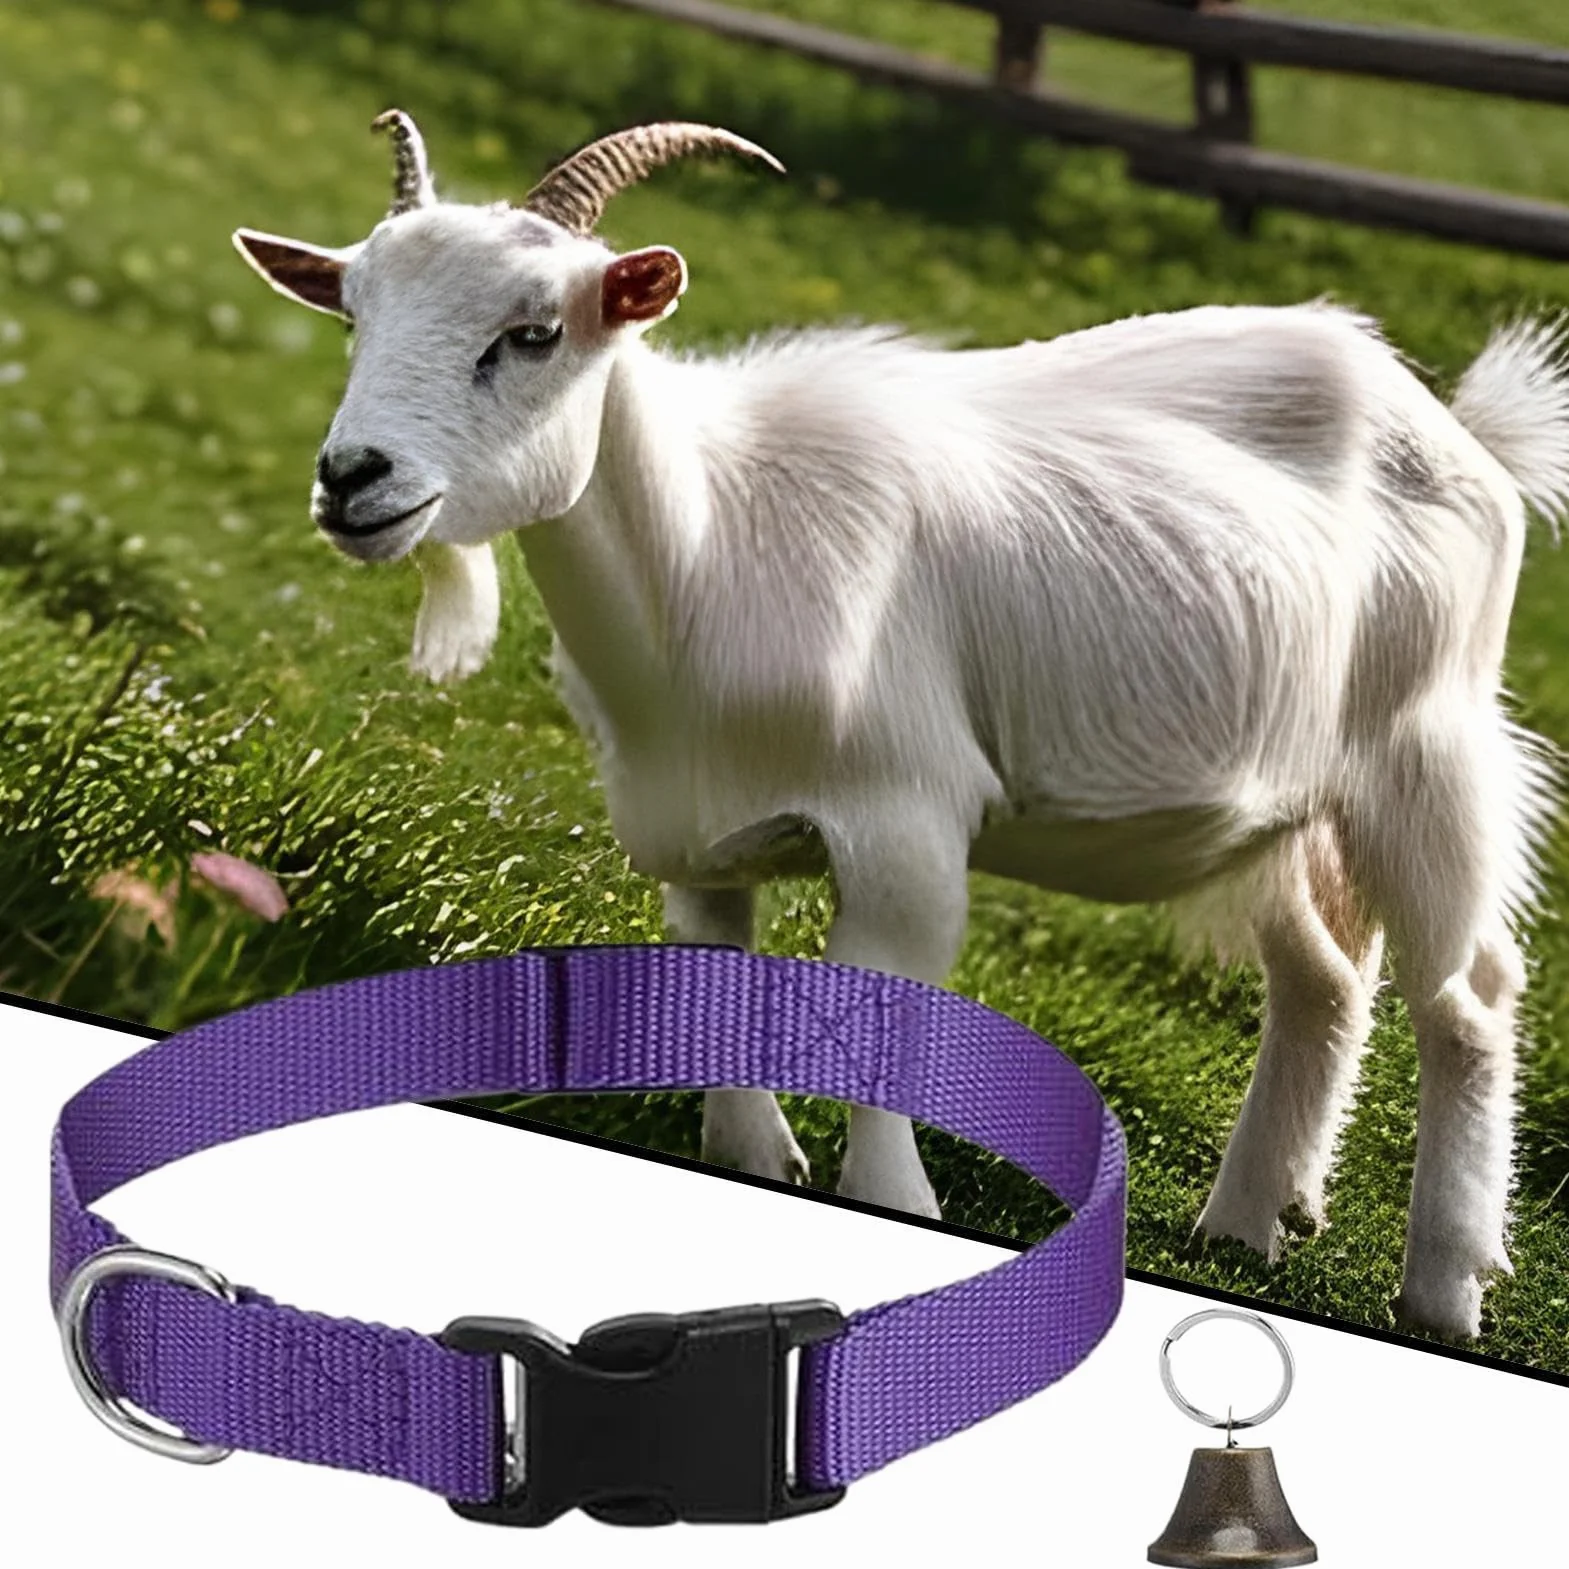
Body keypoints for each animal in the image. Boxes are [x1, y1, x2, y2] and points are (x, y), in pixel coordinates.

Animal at [234, 110, 1568, 1342]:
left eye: (533, 333)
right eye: (353, 317)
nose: (353, 477)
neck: (711, 540)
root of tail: (1454, 425)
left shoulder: (904, 819)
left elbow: (888, 1006)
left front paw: (893, 1198)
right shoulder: (696, 835)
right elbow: (726, 988)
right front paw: (753, 1157)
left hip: (1429, 748)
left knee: (1469, 998)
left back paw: (1445, 1289)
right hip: (1289, 798)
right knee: (1323, 981)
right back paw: (1246, 1225)